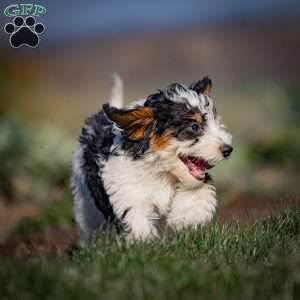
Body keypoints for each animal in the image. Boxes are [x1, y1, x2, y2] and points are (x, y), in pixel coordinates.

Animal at [71, 77, 233, 241]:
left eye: (215, 122)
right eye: (194, 126)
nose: (228, 150)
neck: (161, 170)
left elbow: (197, 192)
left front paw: (186, 217)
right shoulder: (128, 189)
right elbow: (136, 216)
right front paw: (144, 241)